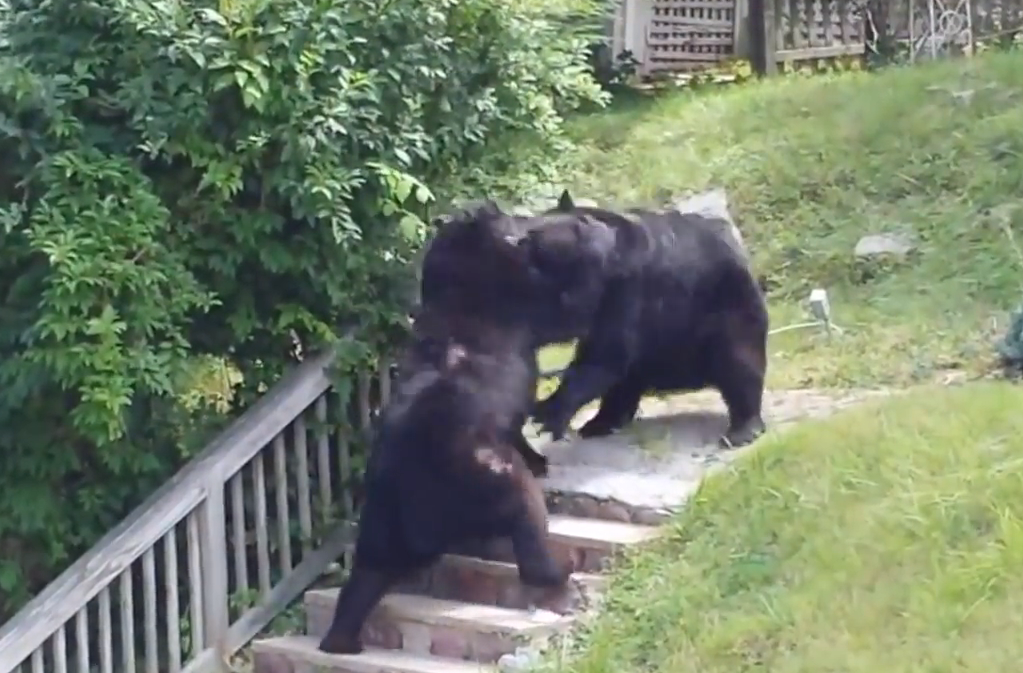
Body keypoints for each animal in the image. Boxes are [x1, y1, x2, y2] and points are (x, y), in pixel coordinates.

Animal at [318, 202, 575, 655]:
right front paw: (539, 457)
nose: (523, 224)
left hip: (380, 513)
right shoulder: (515, 304)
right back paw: (557, 568)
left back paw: (341, 639)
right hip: (481, 470)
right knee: (524, 508)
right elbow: (550, 311)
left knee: (367, 571)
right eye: (508, 215)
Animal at [522, 190, 769, 450]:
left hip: (724, 308)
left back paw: (743, 429)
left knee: (738, 363)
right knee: (627, 380)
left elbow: (605, 354)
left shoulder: (629, 290)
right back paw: (601, 422)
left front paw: (548, 411)